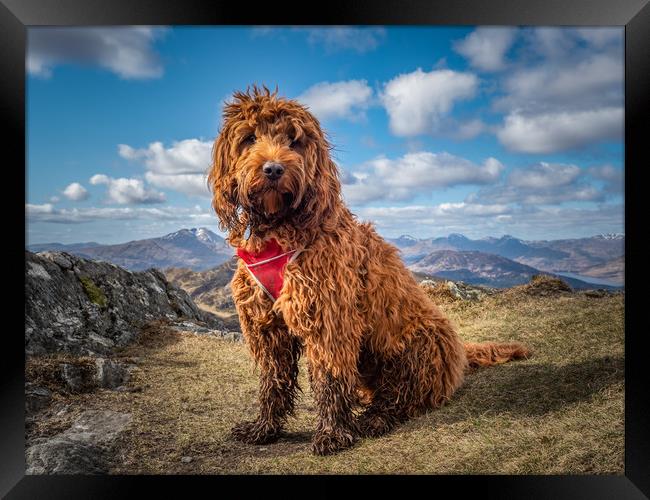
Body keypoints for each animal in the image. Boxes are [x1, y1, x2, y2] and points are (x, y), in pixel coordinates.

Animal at [205, 87, 528, 458]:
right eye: (250, 138)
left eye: (294, 140)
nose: (273, 169)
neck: (280, 230)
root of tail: (460, 356)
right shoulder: (267, 327)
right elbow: (273, 380)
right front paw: (264, 428)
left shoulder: (328, 318)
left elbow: (330, 377)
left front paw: (332, 433)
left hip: (418, 344)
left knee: (404, 398)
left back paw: (376, 417)